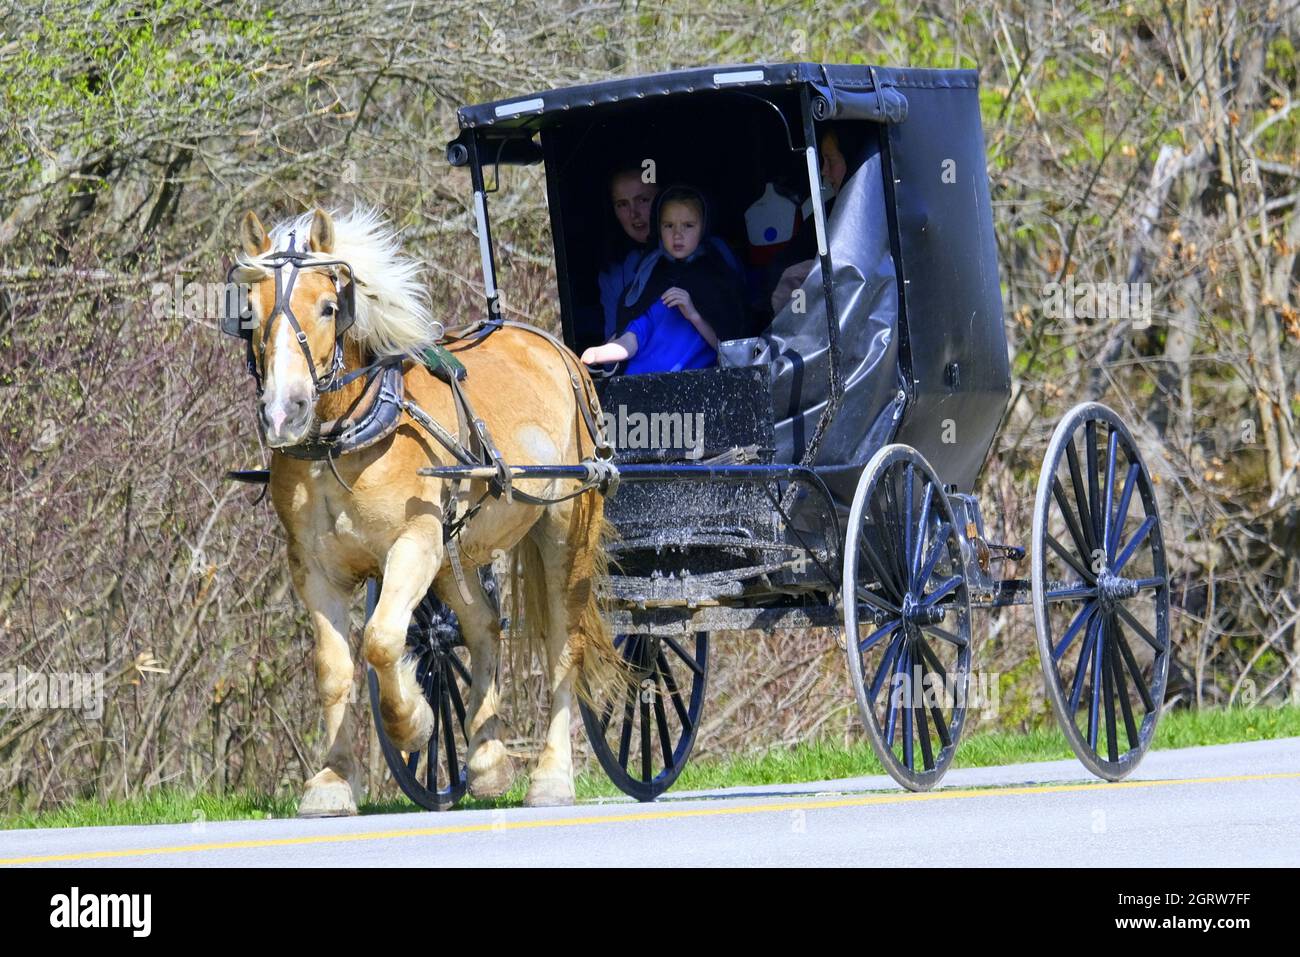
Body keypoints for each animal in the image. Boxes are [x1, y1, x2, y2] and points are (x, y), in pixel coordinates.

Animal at [230, 208, 618, 816]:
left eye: (328, 306)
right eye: (250, 310)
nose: (284, 411)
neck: (343, 441)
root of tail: (555, 350)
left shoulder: (413, 544)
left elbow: (382, 641)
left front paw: (411, 723)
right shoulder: (312, 567)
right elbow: (333, 668)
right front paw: (333, 779)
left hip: (566, 529)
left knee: (563, 645)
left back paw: (552, 777)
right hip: (457, 548)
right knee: (483, 626)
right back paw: (487, 759)